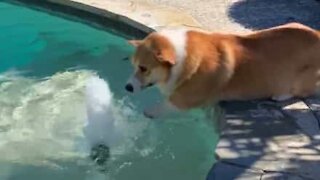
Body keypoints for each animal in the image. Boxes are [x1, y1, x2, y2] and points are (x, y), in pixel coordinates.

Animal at [125, 22, 320, 118]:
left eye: (143, 68)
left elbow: (164, 105)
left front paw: (149, 112)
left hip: (299, 79)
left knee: (305, 90)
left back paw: (281, 95)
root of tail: (317, 34)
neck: (183, 58)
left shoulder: (185, 99)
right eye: (134, 65)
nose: (127, 88)